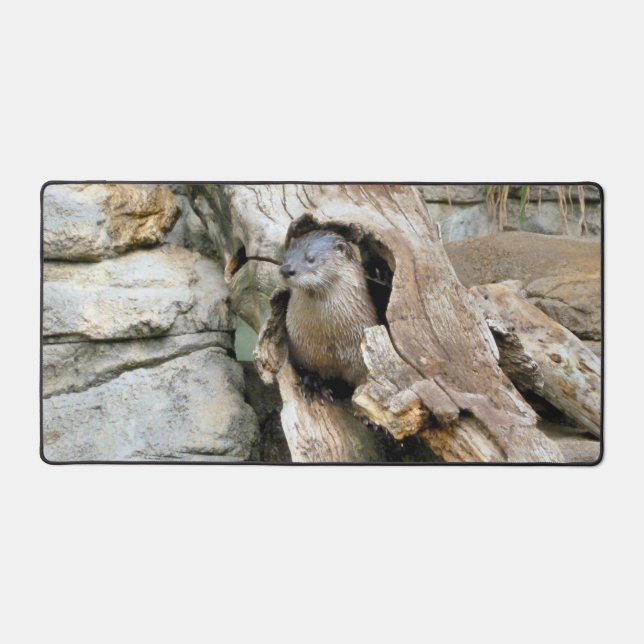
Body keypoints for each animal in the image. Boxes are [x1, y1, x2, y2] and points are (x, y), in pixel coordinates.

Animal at [279, 230, 378, 401]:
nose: (286, 269)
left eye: (311, 258)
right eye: (285, 257)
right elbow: (305, 369)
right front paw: (313, 384)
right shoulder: (301, 351)